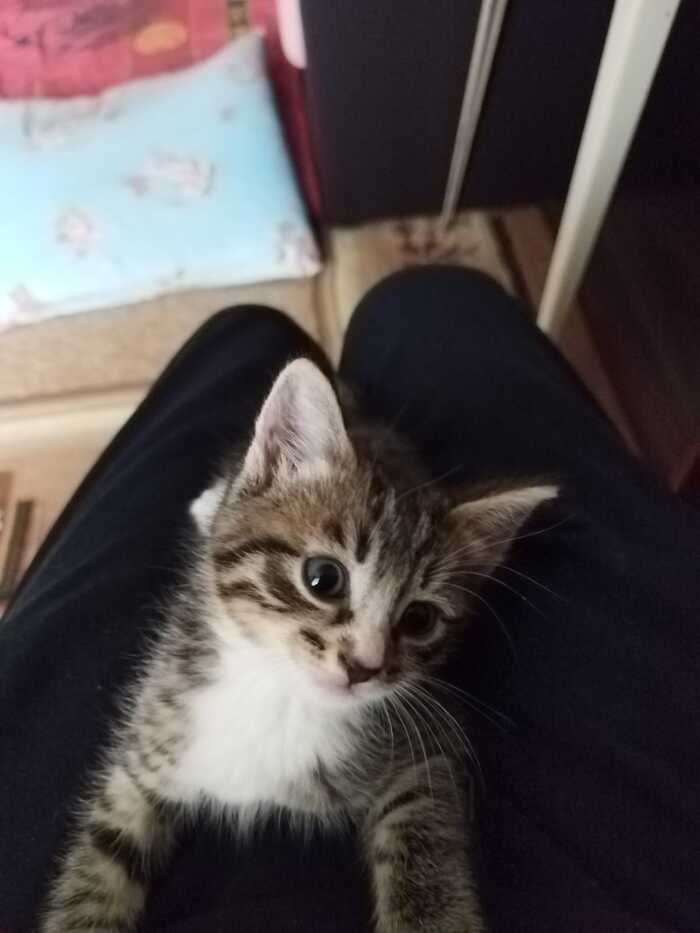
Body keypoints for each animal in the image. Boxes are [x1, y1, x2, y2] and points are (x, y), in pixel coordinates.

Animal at [40, 358, 556, 932]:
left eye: (420, 619)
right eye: (323, 578)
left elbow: (426, 839)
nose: (364, 665)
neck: (278, 693)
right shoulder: (152, 739)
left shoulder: (427, 748)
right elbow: (97, 867)